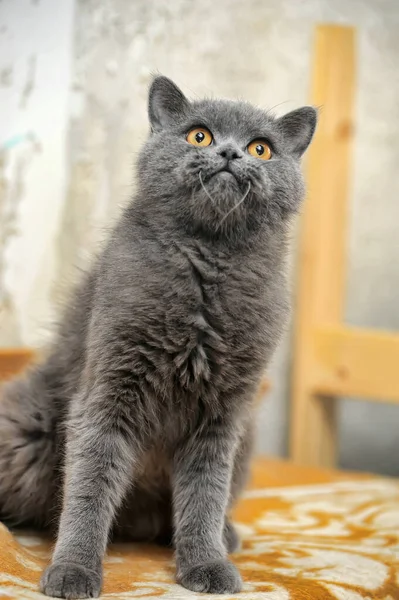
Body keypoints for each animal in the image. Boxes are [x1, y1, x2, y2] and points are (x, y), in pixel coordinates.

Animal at [0, 77, 316, 596]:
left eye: (261, 148)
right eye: (199, 136)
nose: (231, 152)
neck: (209, 264)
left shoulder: (222, 415)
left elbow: (206, 493)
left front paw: (206, 563)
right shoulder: (109, 390)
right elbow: (89, 487)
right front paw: (74, 570)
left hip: (247, 437)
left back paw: (224, 536)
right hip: (25, 429)